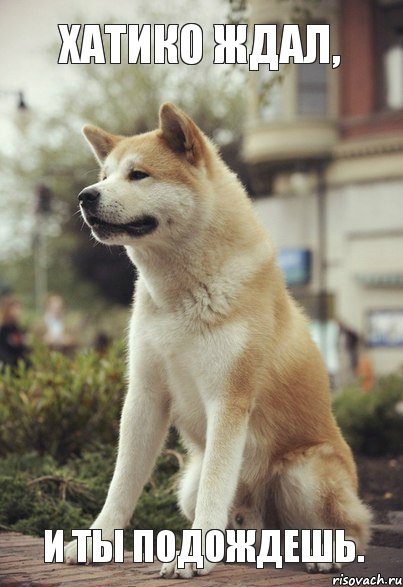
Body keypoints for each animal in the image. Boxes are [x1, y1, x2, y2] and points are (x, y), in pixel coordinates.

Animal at [65, 103, 372, 576]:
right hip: (187, 486)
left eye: (138, 175)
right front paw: (96, 540)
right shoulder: (145, 396)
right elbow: (122, 483)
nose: (86, 196)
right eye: (104, 174)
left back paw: (325, 556)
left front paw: (191, 558)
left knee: (353, 530)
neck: (180, 296)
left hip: (303, 474)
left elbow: (216, 481)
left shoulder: (229, 399)